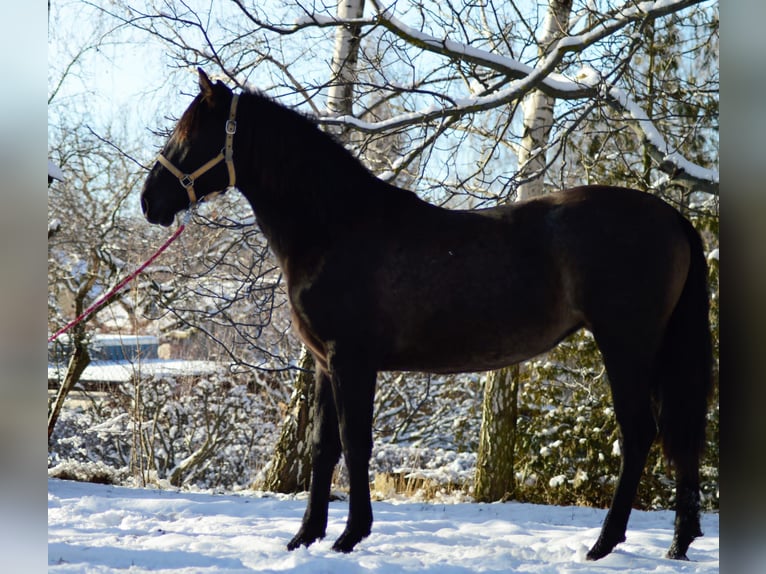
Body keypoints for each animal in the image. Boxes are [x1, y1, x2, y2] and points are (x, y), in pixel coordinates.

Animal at [142, 71, 712, 564]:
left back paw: (604, 543)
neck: (335, 226)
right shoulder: (325, 363)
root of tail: (671, 216)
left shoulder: (352, 361)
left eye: (189, 135)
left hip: (626, 345)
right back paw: (677, 544)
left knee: (638, 434)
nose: (149, 202)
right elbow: (322, 446)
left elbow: (354, 442)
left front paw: (350, 536)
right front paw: (305, 536)